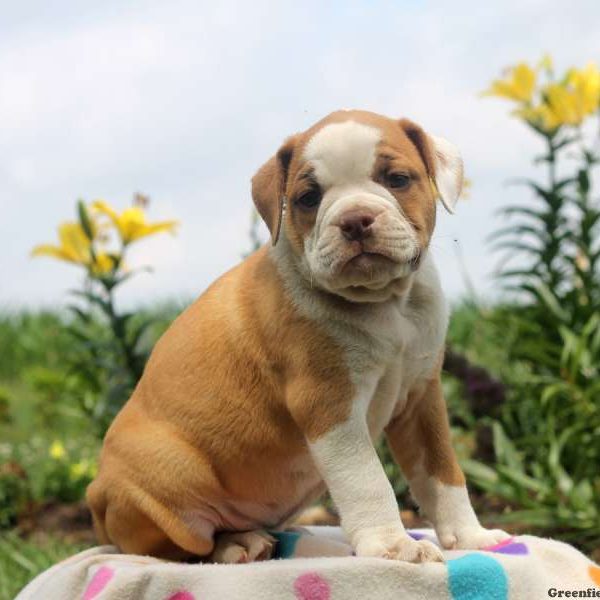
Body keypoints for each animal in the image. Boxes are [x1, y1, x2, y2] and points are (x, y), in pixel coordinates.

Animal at [86, 108, 508, 564]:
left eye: (396, 179)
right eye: (309, 197)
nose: (354, 220)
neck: (387, 303)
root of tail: (94, 502)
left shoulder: (422, 399)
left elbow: (443, 473)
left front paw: (471, 536)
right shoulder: (330, 405)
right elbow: (368, 479)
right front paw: (394, 546)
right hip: (167, 480)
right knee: (175, 547)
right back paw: (236, 544)